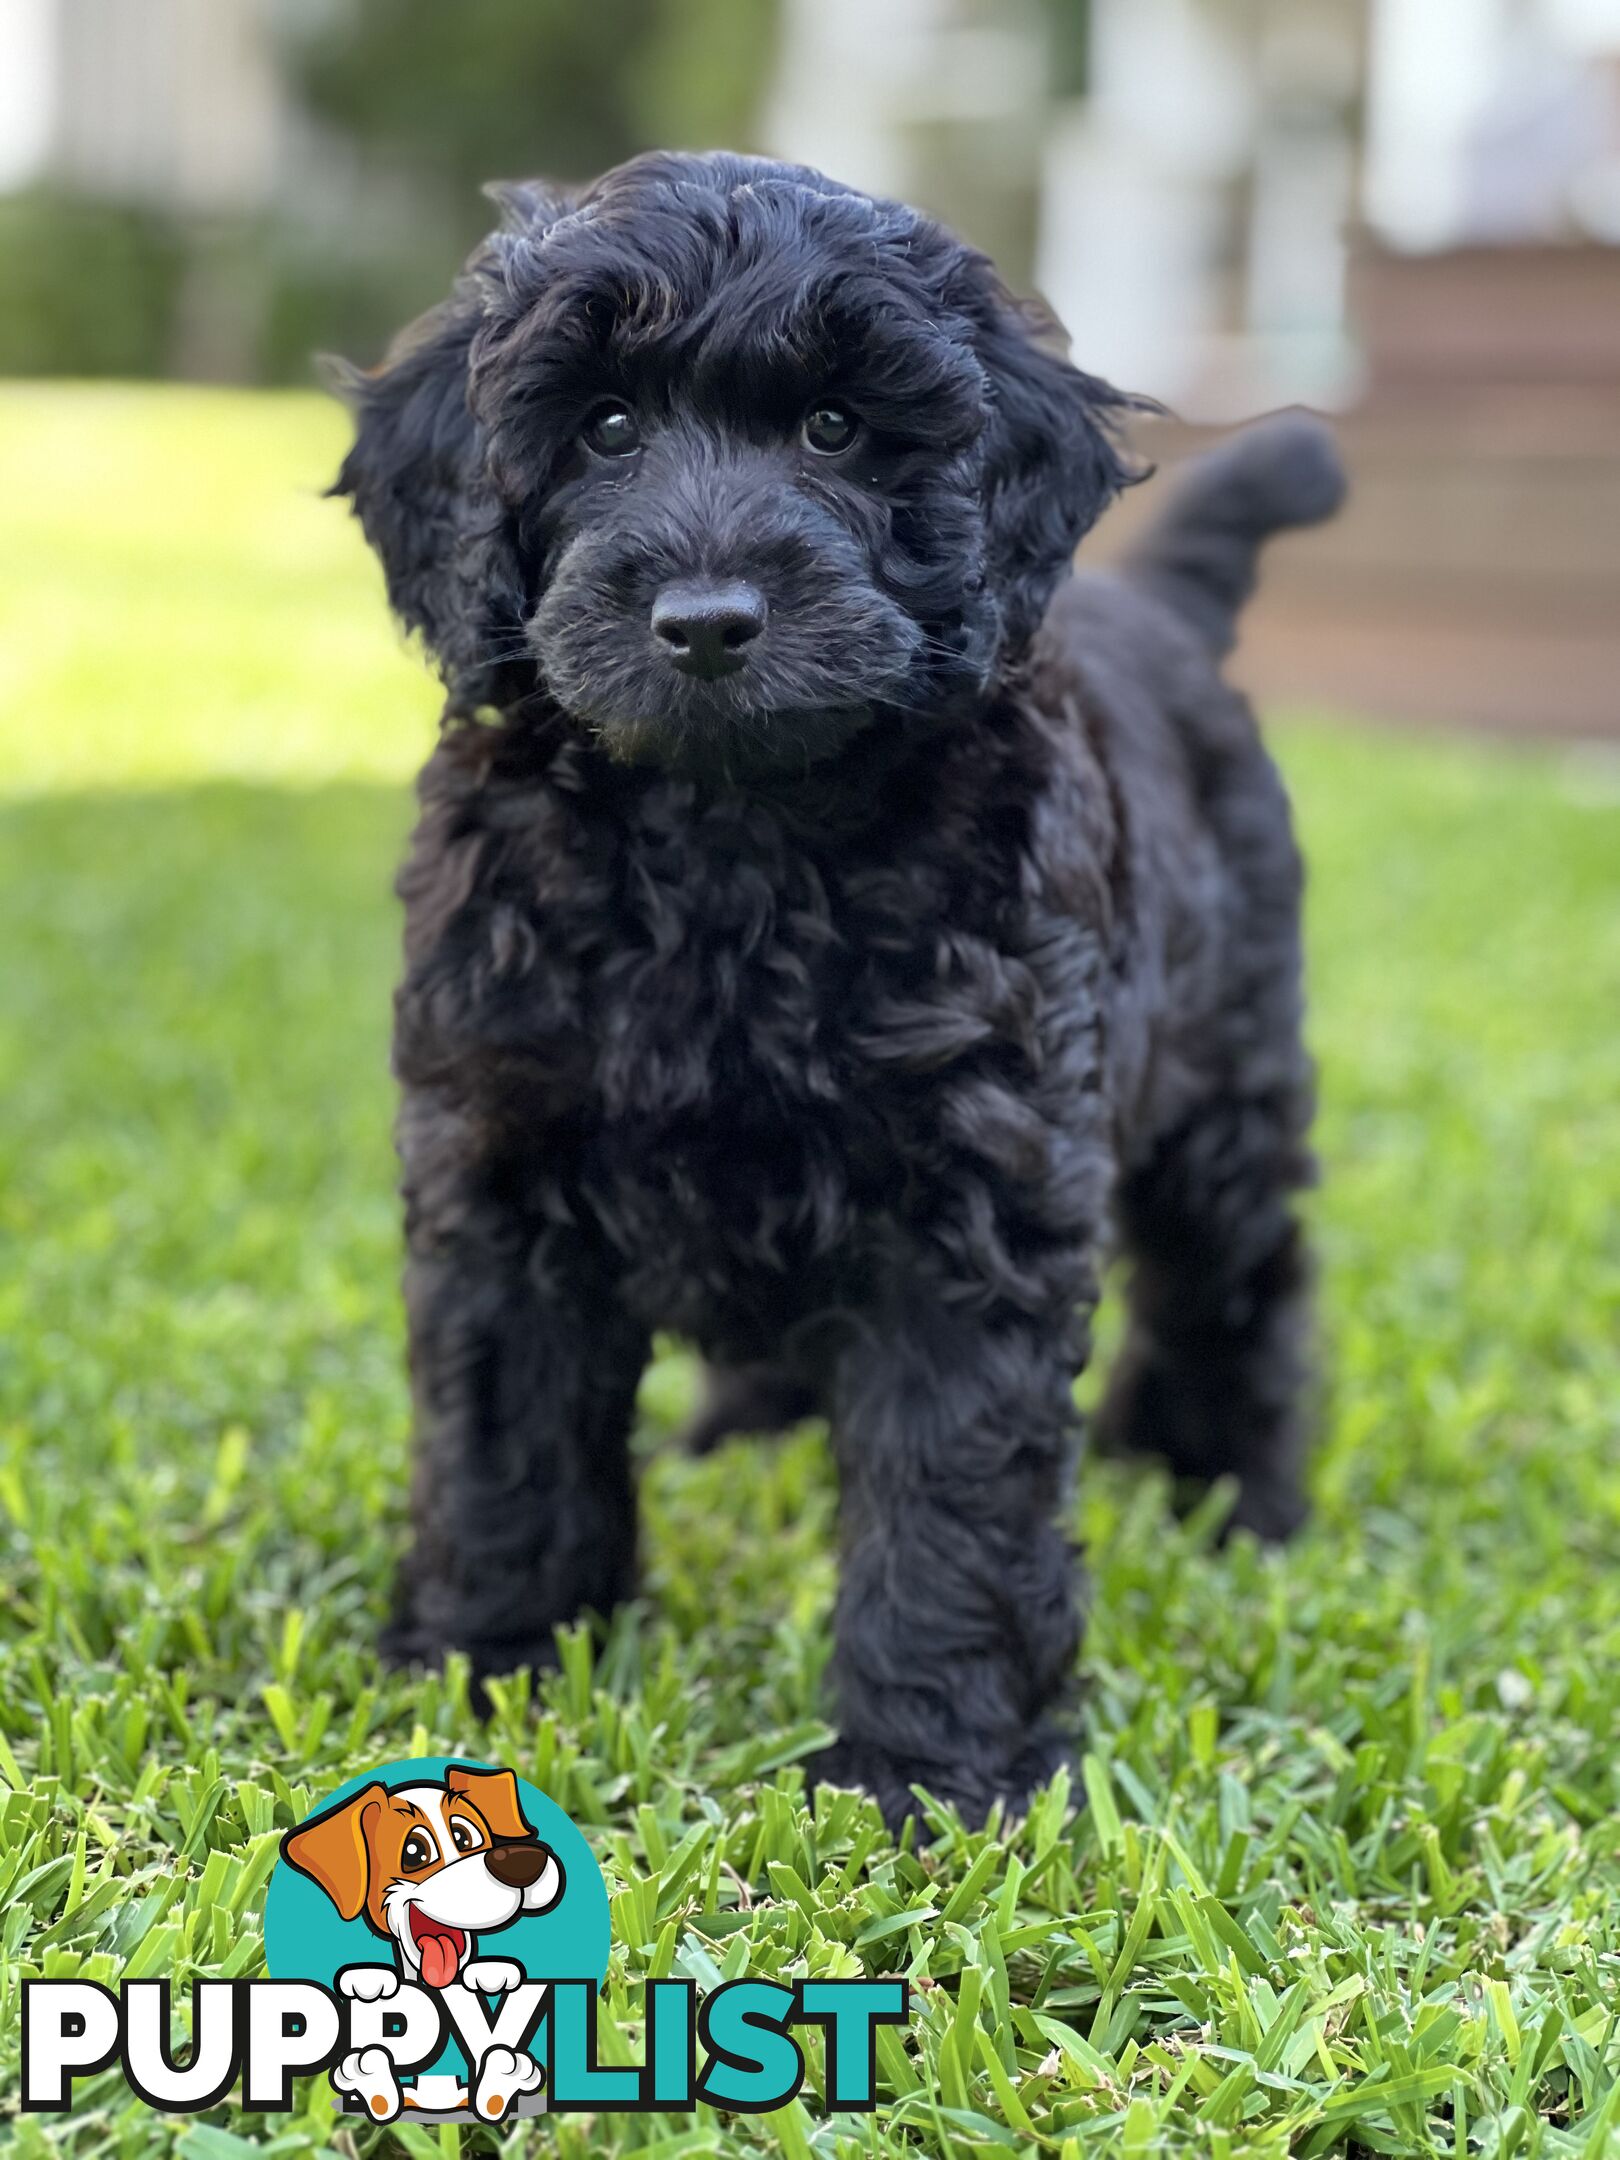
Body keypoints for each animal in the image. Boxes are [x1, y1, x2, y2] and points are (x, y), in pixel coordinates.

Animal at [330, 152, 1347, 1831]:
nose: (707, 623)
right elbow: (502, 1437)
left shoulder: (978, 1192)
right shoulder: (498, 1160)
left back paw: (1234, 1500)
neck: (729, 842)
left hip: (1229, 1070)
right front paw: (487, 1669)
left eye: (834, 429)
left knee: (1238, 1280)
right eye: (604, 426)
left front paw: (930, 1772)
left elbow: (950, 1495)